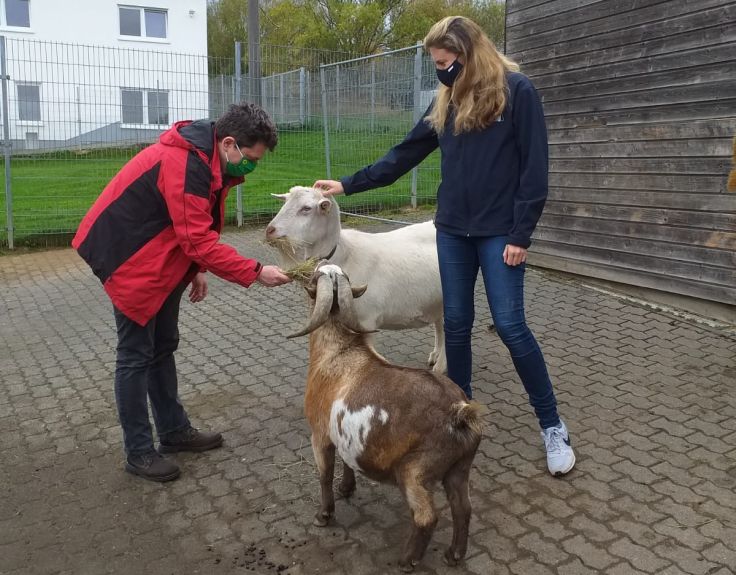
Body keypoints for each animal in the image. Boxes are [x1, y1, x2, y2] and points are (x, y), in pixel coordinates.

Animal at [268, 186, 446, 374]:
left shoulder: (366, 320)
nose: (269, 231)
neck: (346, 254)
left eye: (306, 208)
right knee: (440, 325)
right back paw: (435, 356)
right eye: (285, 202)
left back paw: (440, 367)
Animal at [288, 264, 484, 572]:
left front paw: (324, 515)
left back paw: (407, 560)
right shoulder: (343, 436)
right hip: (459, 467)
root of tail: (460, 412)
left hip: (415, 470)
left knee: (427, 516)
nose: (312, 266)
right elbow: (346, 462)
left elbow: (324, 475)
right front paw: (346, 488)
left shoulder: (319, 436)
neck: (336, 354)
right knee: (463, 508)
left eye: (314, 276)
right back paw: (453, 555)